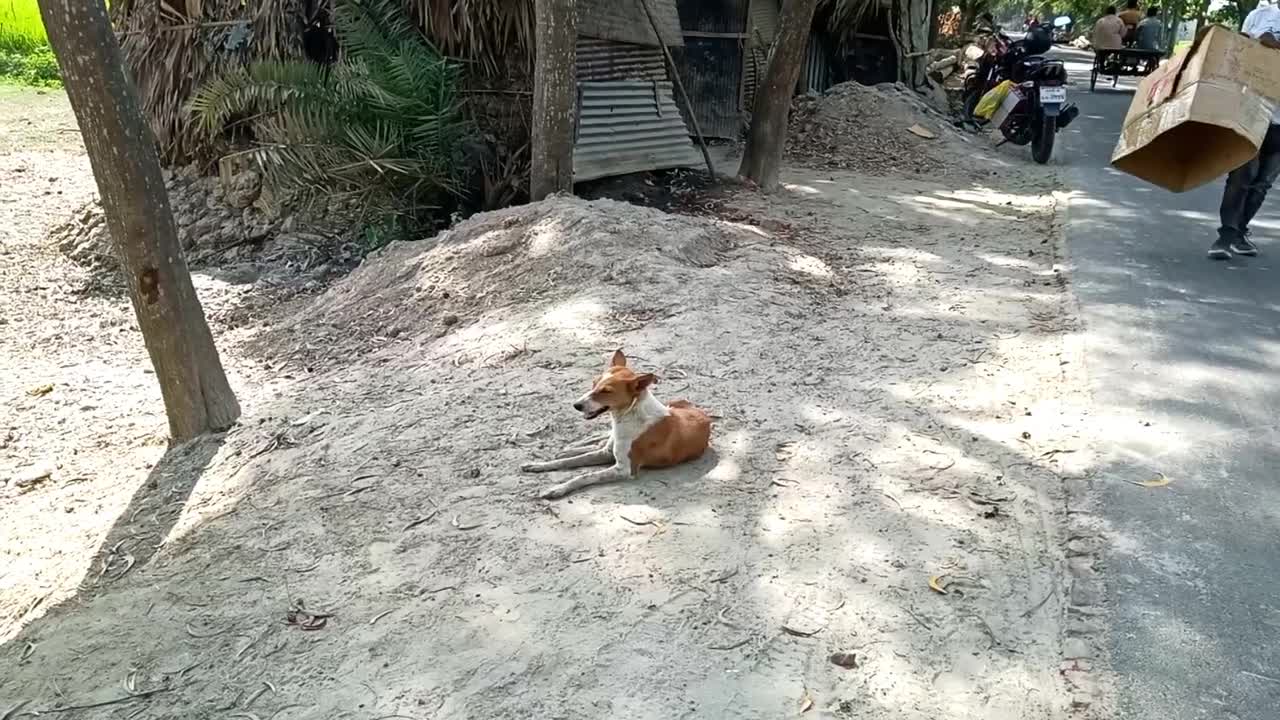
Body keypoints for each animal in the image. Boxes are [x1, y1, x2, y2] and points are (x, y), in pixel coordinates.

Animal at [524, 348, 716, 499]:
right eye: (594, 383)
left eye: (606, 391)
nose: (576, 405)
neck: (627, 416)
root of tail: (704, 414)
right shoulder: (607, 453)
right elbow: (570, 461)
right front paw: (540, 465)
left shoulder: (623, 469)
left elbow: (585, 476)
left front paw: (557, 489)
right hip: (671, 403)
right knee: (599, 439)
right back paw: (570, 448)